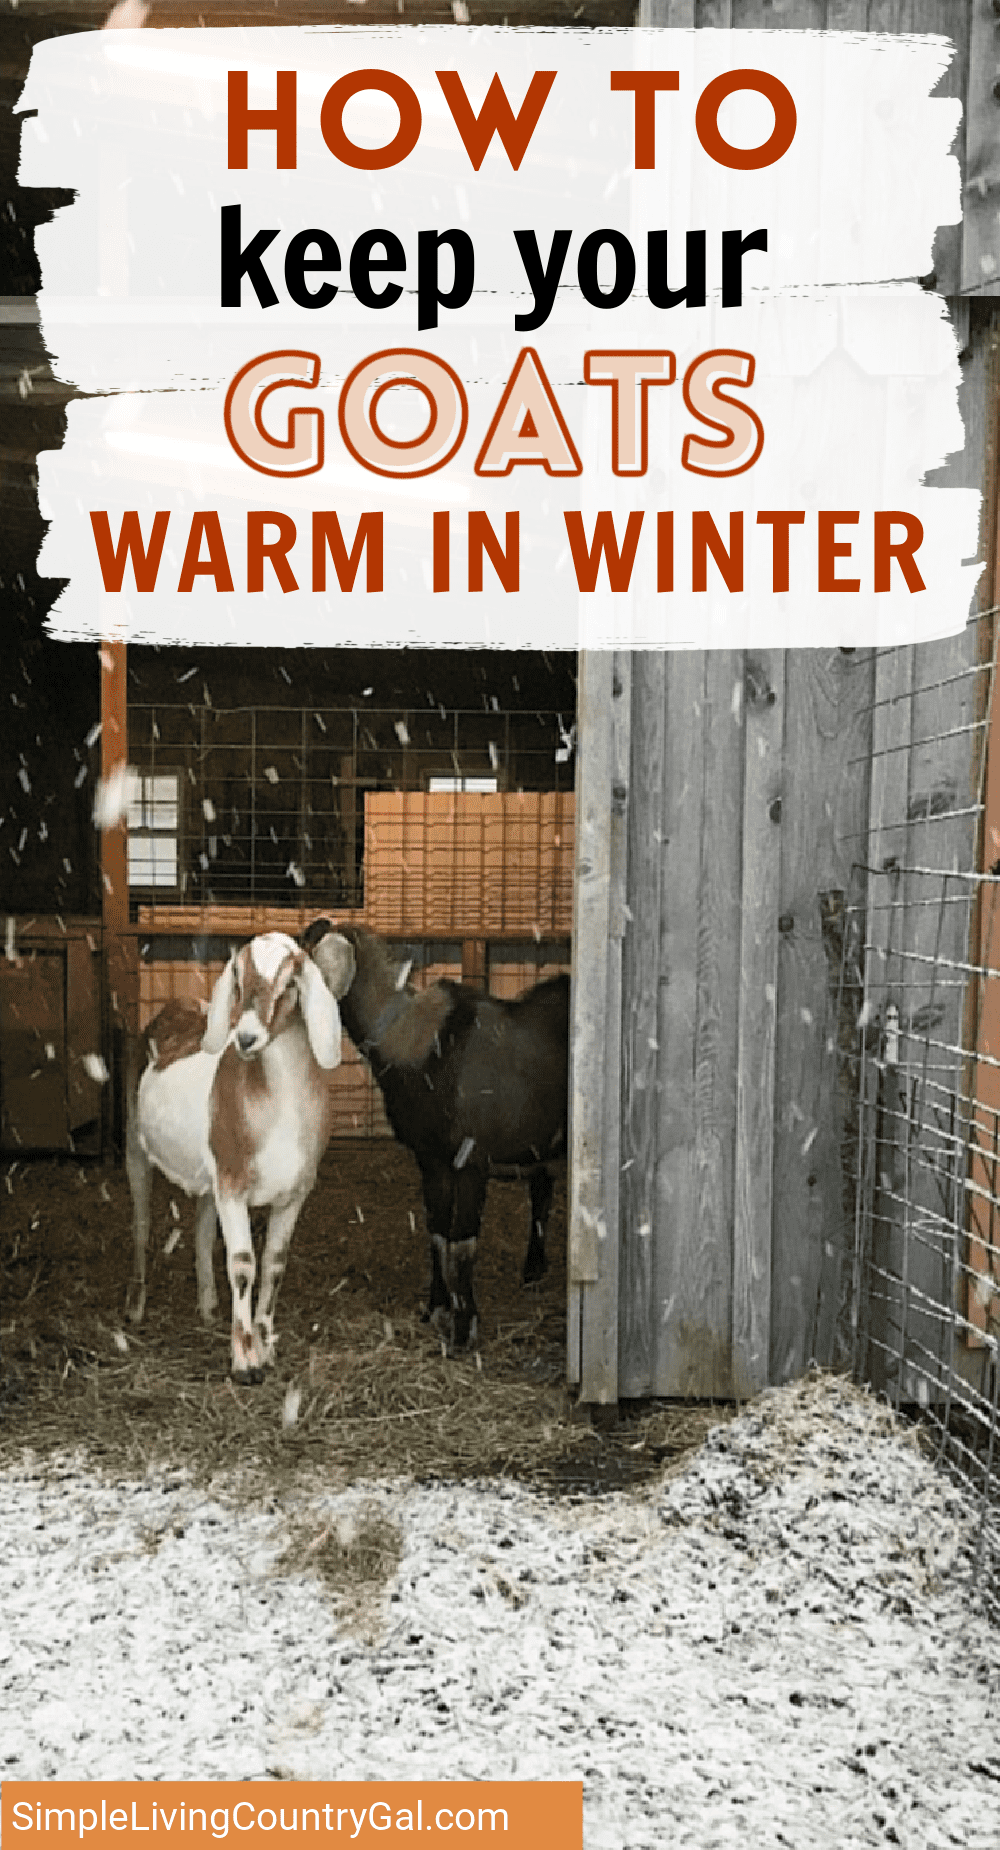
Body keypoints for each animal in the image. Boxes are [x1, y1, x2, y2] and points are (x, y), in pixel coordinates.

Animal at [125, 929, 356, 1382]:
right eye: (237, 979)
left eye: (289, 983)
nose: (246, 1038)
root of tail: (177, 1006)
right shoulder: (232, 1184)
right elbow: (243, 1265)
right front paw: (245, 1361)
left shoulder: (295, 1192)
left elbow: (274, 1264)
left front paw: (266, 1348)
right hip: (134, 1147)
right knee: (141, 1225)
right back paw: (137, 1311)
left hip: (209, 1175)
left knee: (199, 1229)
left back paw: (208, 1308)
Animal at [304, 919, 569, 1351]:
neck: (421, 1044)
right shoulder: (431, 1160)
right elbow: (437, 1237)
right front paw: (434, 1310)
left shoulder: (472, 1160)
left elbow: (461, 1246)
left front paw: (463, 1330)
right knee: (542, 1187)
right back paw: (533, 1269)